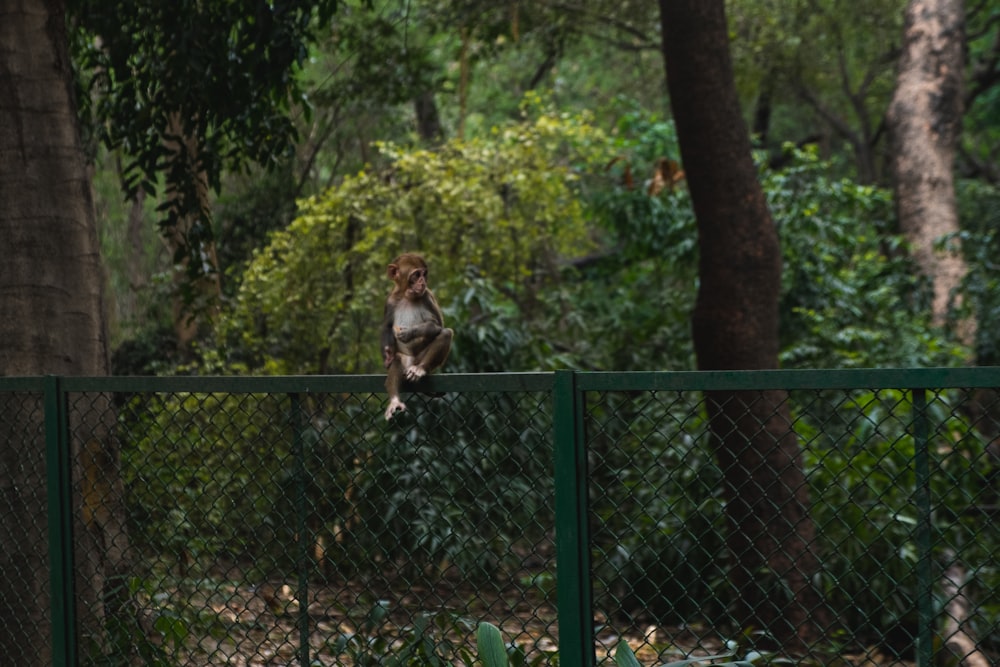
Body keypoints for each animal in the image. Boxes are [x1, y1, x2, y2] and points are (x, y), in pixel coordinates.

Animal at [378, 253, 454, 420]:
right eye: (416, 275)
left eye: (424, 274)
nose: (422, 282)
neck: (407, 295)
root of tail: (412, 363)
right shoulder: (390, 300)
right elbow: (387, 327)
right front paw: (387, 353)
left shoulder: (427, 295)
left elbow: (437, 326)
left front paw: (409, 333)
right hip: (405, 361)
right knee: (398, 360)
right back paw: (395, 401)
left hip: (422, 360)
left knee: (445, 333)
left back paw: (420, 369)